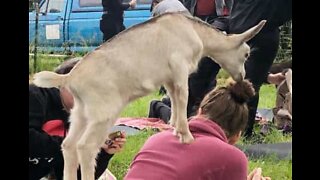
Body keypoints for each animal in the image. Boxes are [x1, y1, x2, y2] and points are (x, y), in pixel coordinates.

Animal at [32, 13, 266, 180]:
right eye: (246, 54)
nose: (242, 77)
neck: (193, 31)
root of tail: (70, 78)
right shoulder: (180, 68)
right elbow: (183, 97)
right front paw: (187, 136)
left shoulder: (169, 78)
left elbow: (174, 99)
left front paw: (174, 129)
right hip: (103, 115)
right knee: (86, 147)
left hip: (80, 113)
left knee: (68, 145)